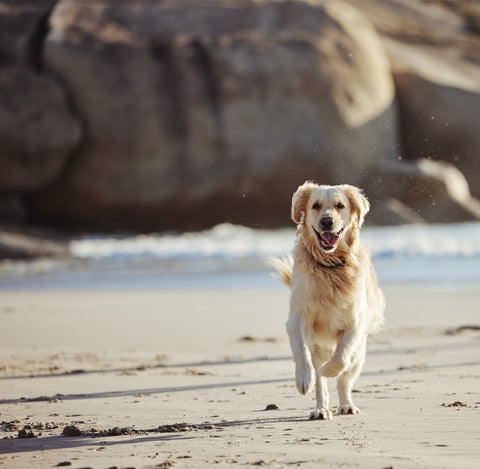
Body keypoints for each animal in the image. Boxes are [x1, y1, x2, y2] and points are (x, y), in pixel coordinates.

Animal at [276, 181, 384, 418]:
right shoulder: (298, 318)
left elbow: (341, 358)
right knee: (320, 383)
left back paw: (346, 405)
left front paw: (330, 369)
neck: (330, 267)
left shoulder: (355, 324)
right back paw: (321, 409)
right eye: (315, 206)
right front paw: (303, 378)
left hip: (360, 355)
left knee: (345, 379)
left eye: (340, 205)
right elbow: (301, 351)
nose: (327, 221)